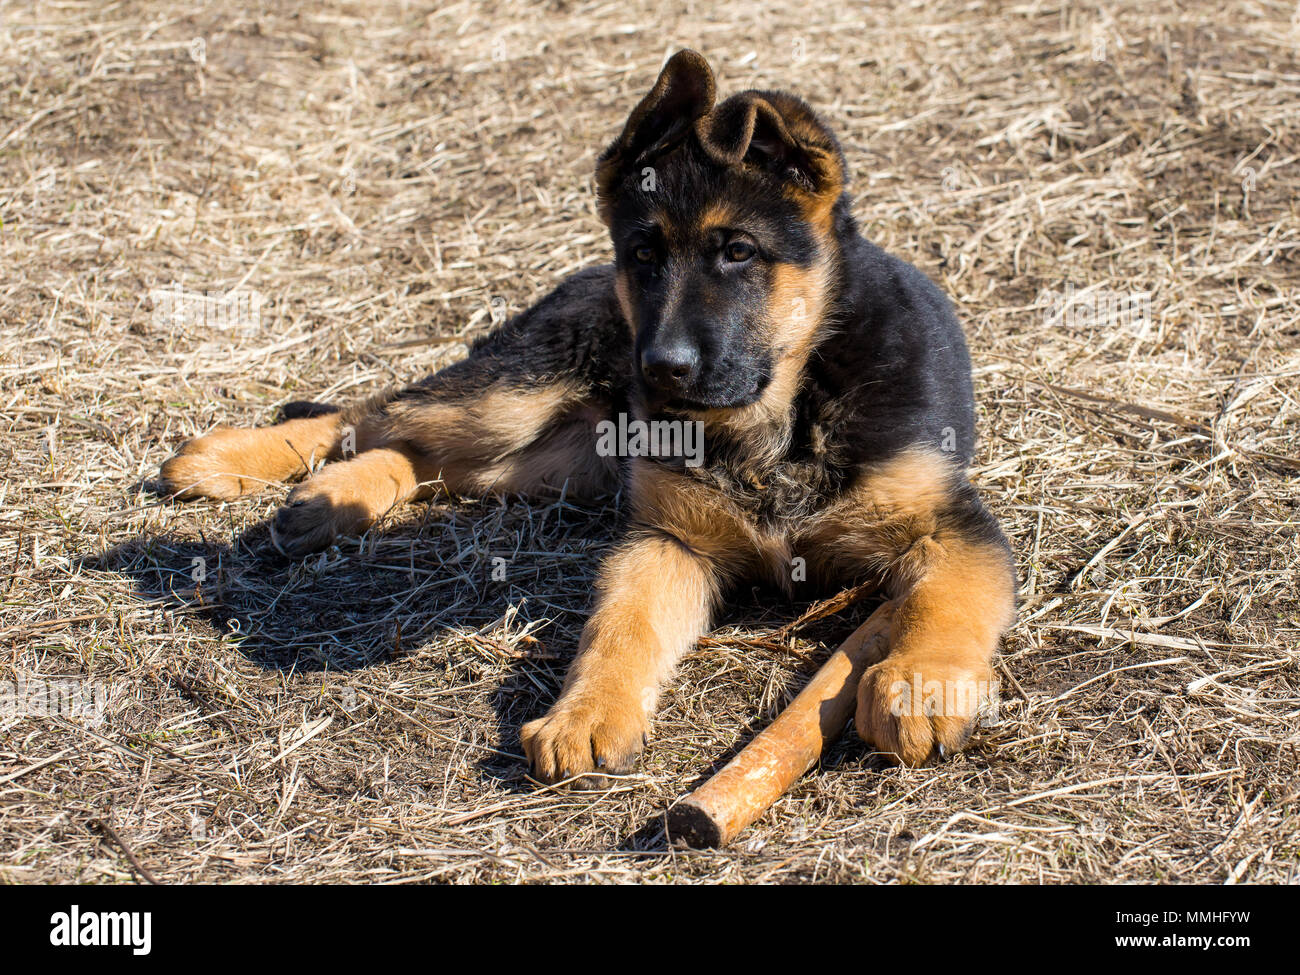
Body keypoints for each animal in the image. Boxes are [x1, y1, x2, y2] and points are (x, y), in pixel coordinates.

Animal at [157, 51, 1013, 785]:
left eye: (738, 251)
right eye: (645, 254)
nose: (660, 371)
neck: (781, 410)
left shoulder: (954, 524)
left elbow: (944, 599)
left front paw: (919, 683)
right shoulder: (665, 537)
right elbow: (622, 627)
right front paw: (586, 712)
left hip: (567, 458)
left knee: (428, 456)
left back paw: (328, 501)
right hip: (518, 395)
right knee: (375, 410)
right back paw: (235, 463)